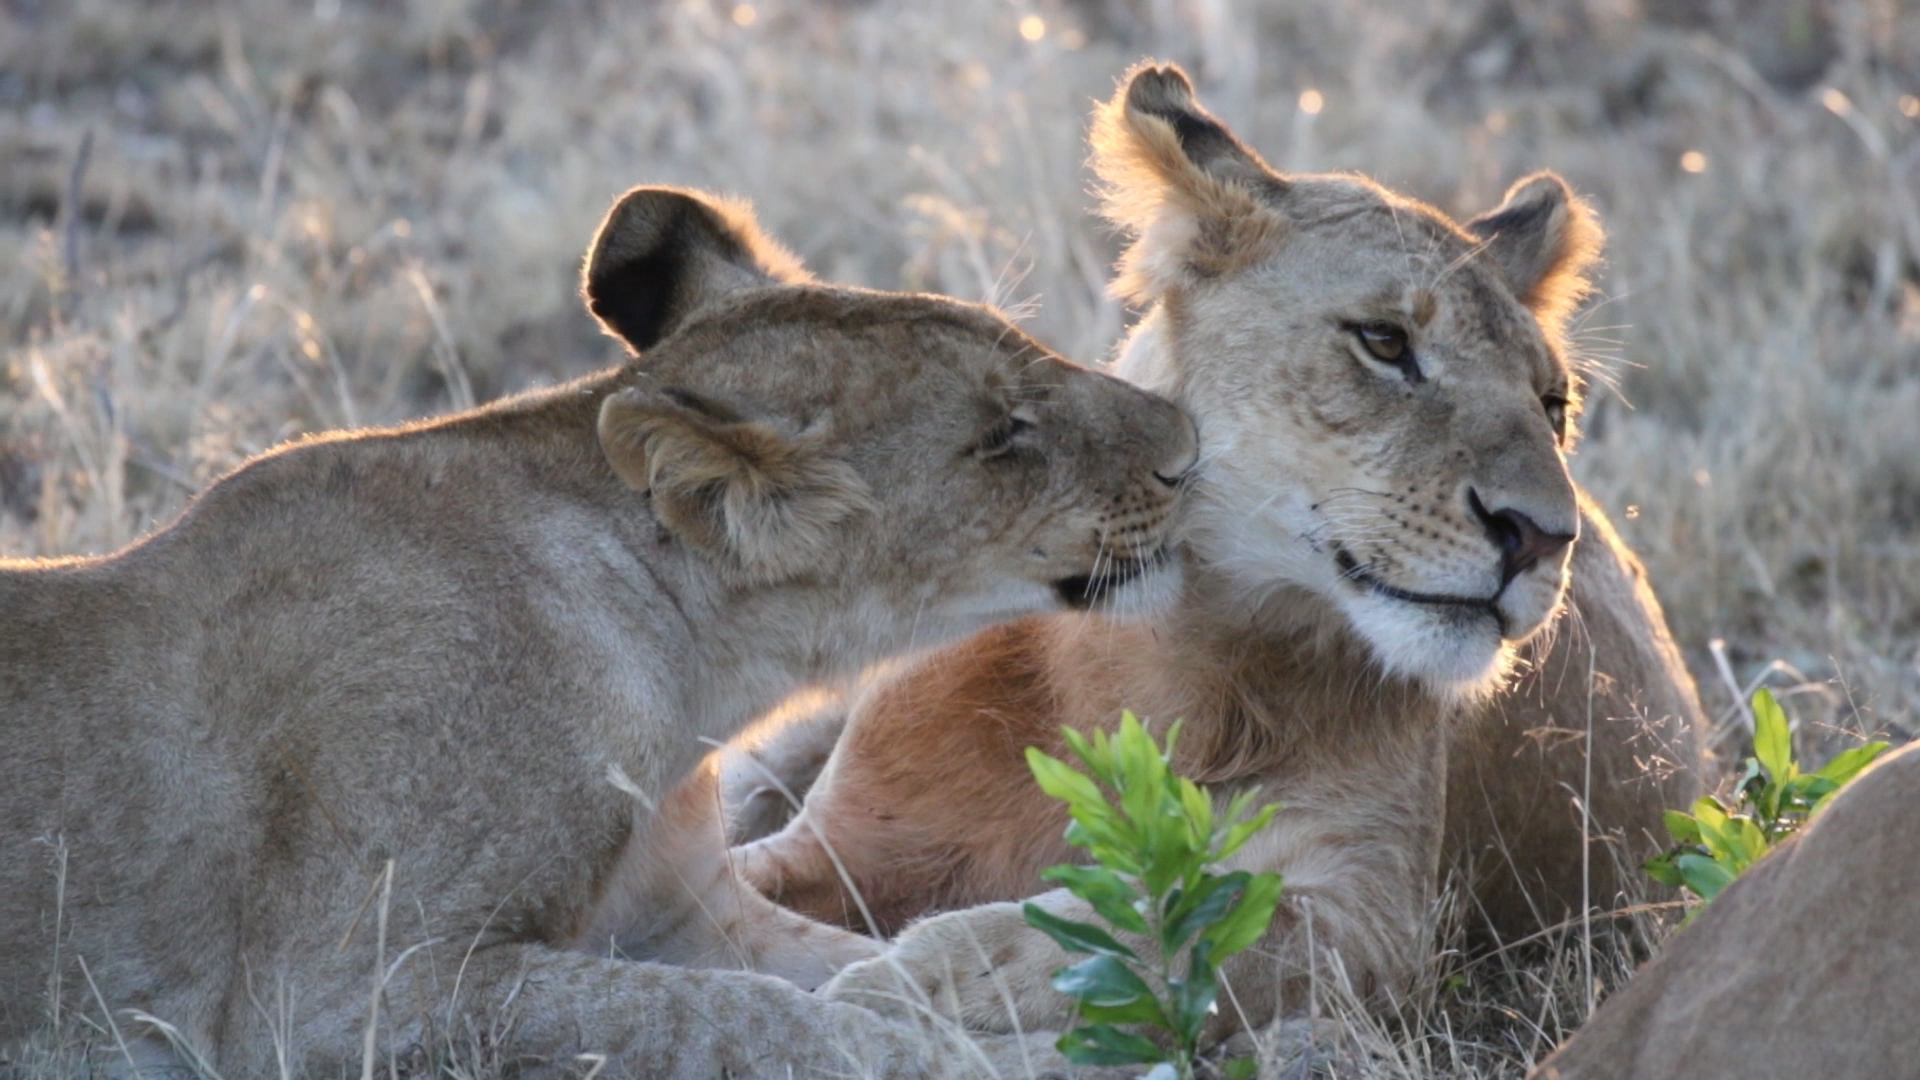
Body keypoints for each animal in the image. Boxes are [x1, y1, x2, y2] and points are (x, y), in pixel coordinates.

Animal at [3, 184, 1198, 1076]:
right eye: (1003, 436)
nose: (1192, 446)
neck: (695, 674)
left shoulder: (695, 914)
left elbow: (875, 967)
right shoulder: (339, 998)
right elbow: (756, 1021)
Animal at [725, 61, 1704, 1037]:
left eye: (1553, 405)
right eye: (1385, 342)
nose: (1542, 536)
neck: (1163, 660)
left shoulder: (1374, 918)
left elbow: (1145, 929)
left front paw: (896, 984)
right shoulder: (839, 841)